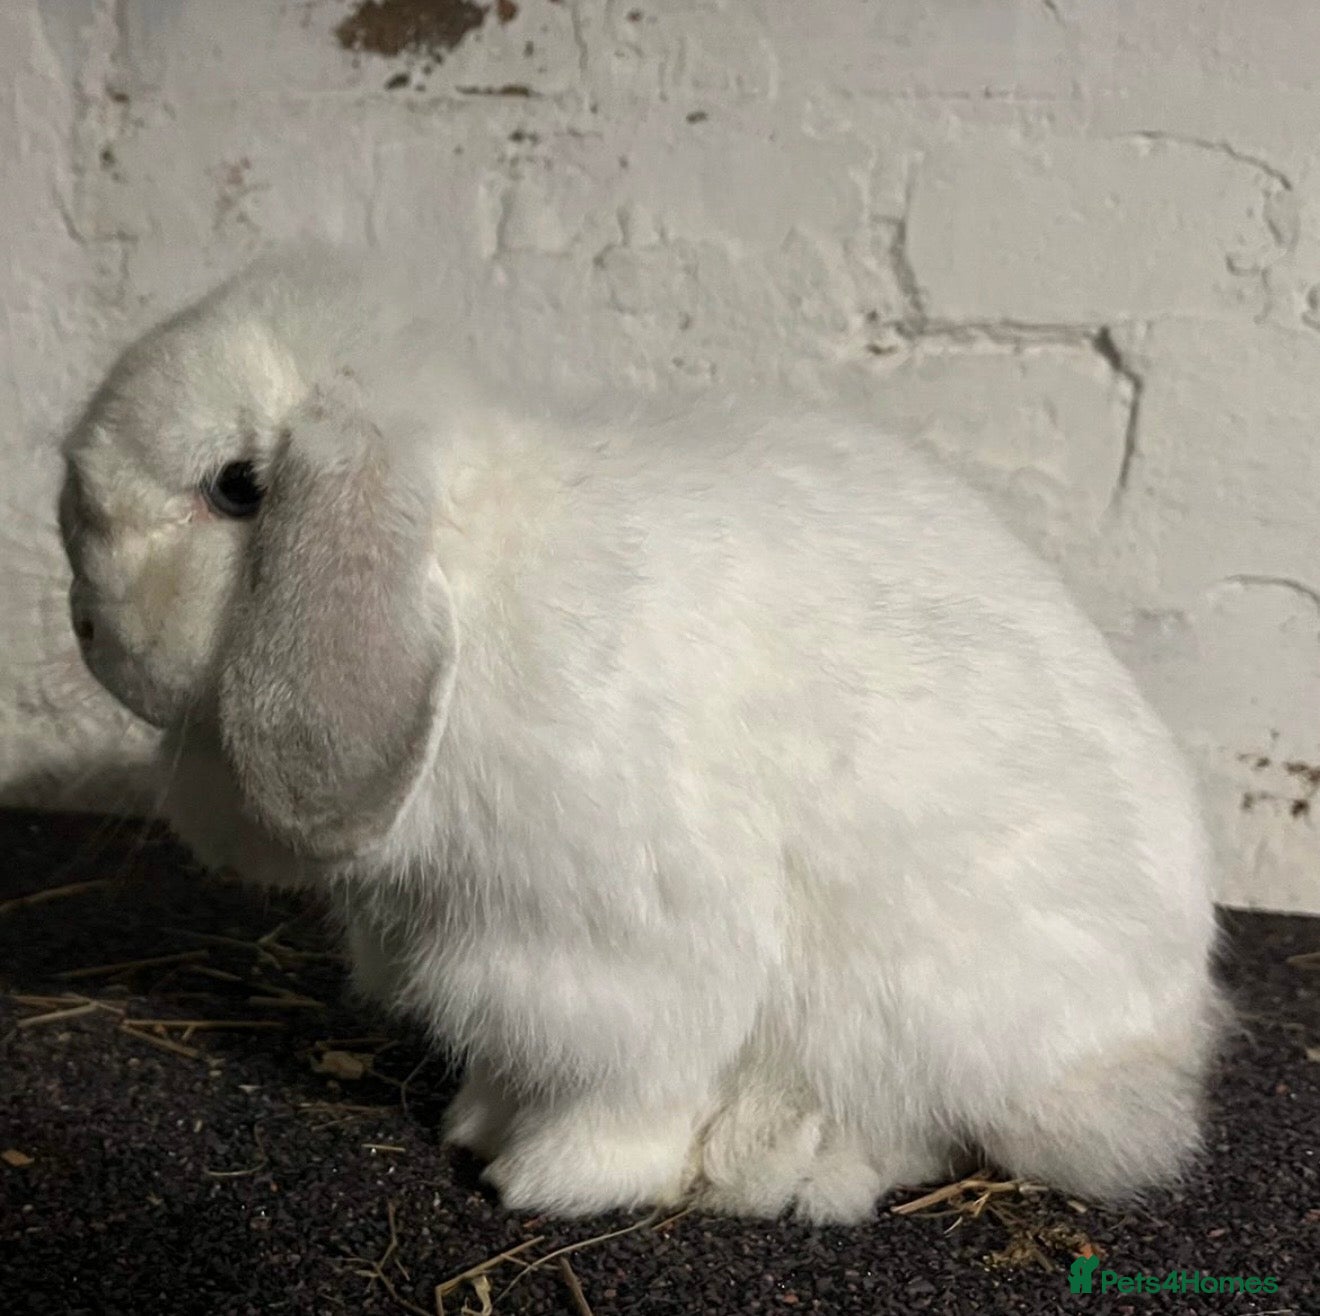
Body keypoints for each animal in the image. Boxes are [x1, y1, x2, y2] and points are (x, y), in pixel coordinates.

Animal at [57, 246, 1226, 1224]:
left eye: (236, 488)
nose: (86, 625)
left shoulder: (616, 960)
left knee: (919, 1119)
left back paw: (783, 1158)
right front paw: (474, 1125)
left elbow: (626, 1088)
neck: (460, 585)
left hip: (925, 1000)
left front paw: (544, 1177)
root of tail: (1160, 1031)